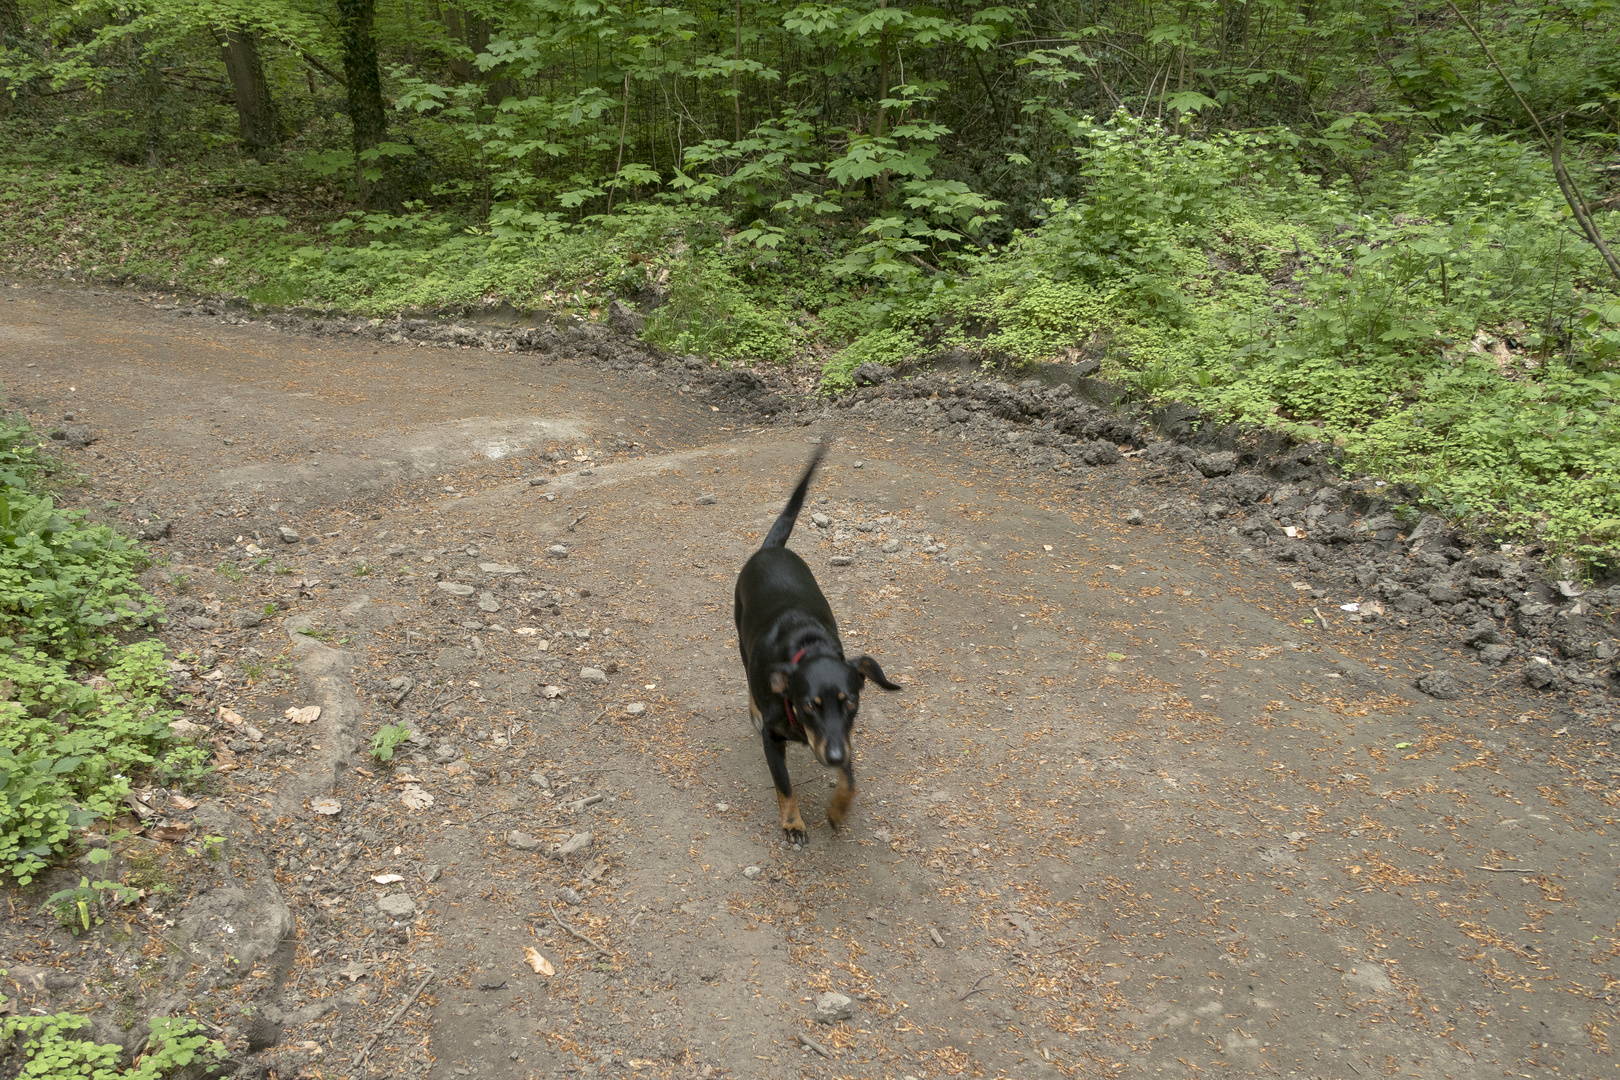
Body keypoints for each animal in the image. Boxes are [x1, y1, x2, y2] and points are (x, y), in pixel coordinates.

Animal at [735, 440, 900, 841]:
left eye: (851, 702)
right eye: (810, 705)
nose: (835, 757)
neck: (806, 649)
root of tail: (771, 548)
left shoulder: (844, 737)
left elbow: (851, 780)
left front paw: (838, 809)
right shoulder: (773, 741)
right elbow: (784, 786)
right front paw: (793, 822)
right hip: (741, 640)